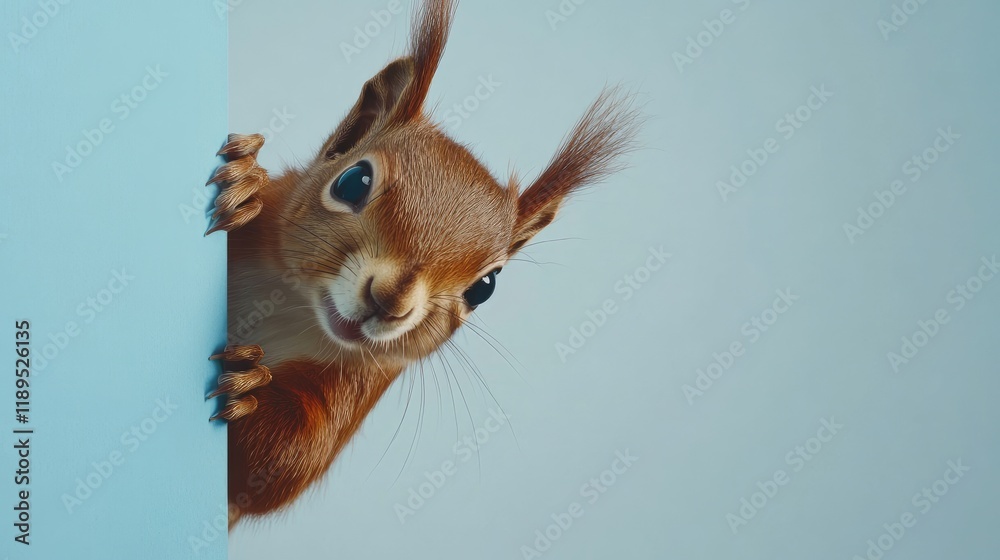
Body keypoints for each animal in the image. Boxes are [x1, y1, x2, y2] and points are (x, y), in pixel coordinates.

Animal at [206, 0, 640, 528]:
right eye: (352, 181)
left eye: (486, 287)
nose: (388, 301)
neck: (289, 307)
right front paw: (244, 183)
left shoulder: (360, 380)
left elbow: (283, 465)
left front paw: (248, 394)